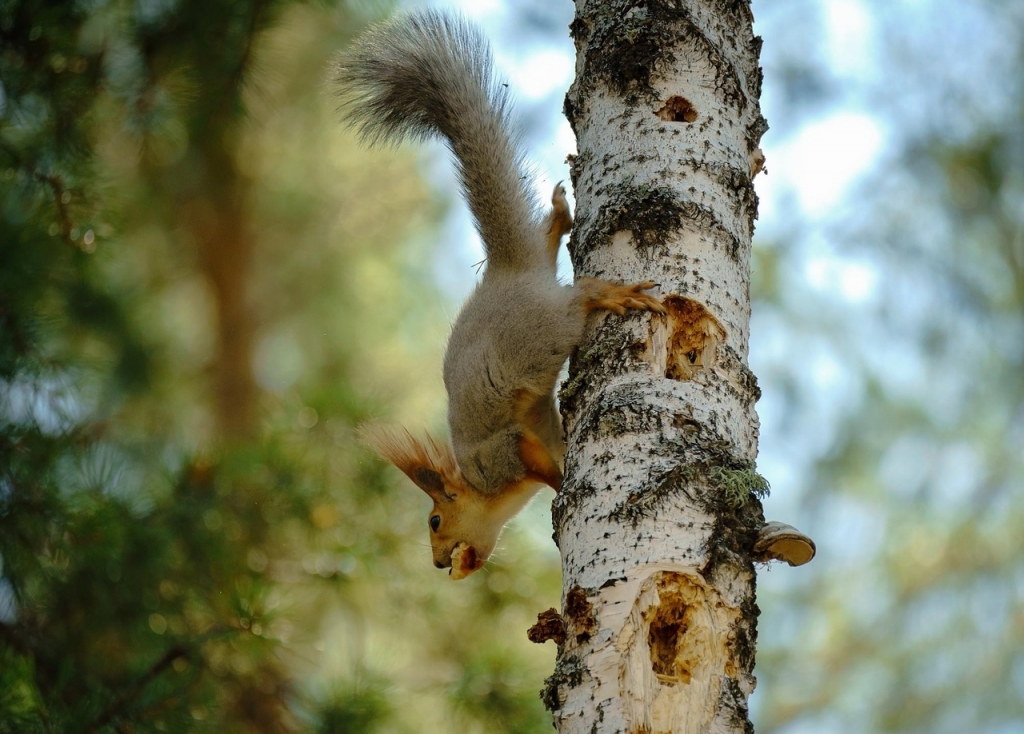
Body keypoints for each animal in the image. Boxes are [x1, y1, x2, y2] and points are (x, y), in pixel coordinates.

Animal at [335, 8, 667, 577]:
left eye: (434, 522)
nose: (440, 565)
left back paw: (606, 292)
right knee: (547, 246)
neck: (488, 491)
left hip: (540, 330)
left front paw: (558, 484)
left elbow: (534, 462)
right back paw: (557, 218)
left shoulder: (499, 456)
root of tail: (505, 273)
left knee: (576, 301)